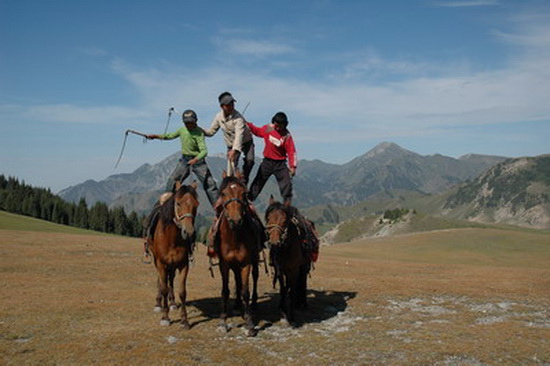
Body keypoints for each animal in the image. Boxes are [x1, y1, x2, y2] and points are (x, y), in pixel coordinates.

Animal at [149, 182, 201, 328]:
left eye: (196, 204)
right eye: (178, 203)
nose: (188, 232)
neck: (171, 239)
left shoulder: (183, 265)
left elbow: (182, 292)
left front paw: (184, 320)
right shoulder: (161, 264)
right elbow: (164, 288)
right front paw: (165, 317)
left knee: (170, 280)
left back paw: (172, 303)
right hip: (157, 262)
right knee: (161, 282)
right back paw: (158, 303)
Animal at [217, 173, 262, 336]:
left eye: (244, 194)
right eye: (223, 193)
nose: (236, 221)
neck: (234, 237)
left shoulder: (245, 263)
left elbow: (245, 291)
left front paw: (249, 323)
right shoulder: (224, 264)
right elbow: (225, 291)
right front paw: (223, 321)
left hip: (254, 260)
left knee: (255, 277)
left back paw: (253, 304)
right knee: (236, 279)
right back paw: (237, 305)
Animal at [266, 197, 312, 326]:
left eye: (285, 220)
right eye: (269, 218)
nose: (274, 243)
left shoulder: (294, 270)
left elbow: (292, 291)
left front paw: (291, 316)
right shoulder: (280, 269)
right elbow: (283, 289)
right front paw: (282, 310)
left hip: (303, 267)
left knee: (302, 282)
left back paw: (303, 303)